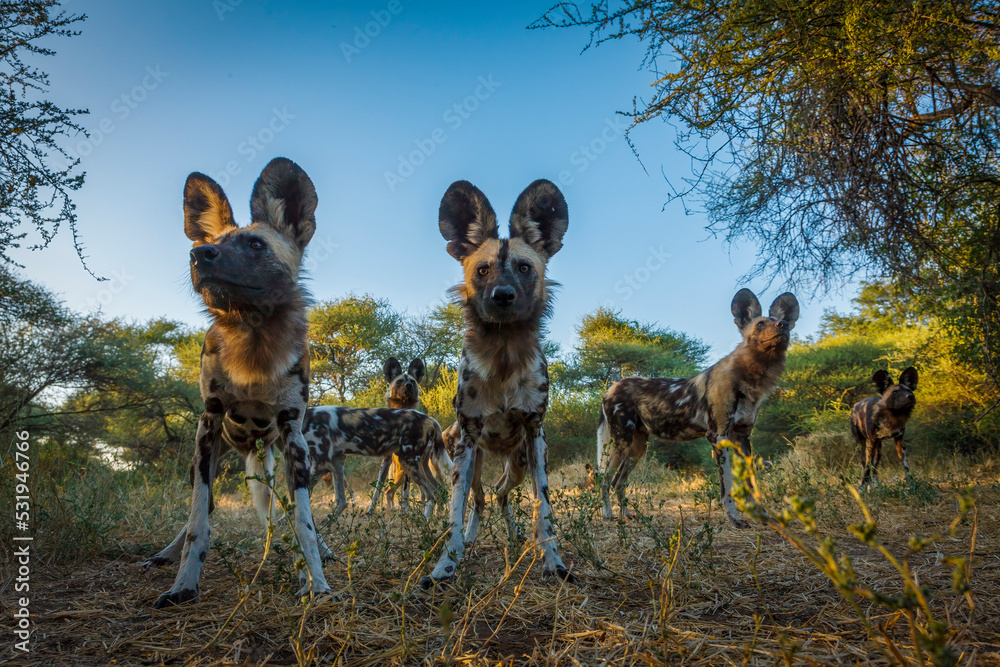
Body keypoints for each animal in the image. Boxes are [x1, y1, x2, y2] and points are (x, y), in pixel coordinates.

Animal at [143, 159, 334, 608]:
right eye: (209, 244)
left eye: (256, 245)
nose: (198, 254)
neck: (253, 335)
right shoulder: (208, 425)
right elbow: (198, 519)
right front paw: (183, 584)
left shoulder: (293, 435)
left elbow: (304, 522)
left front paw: (315, 582)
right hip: (207, 459)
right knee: (206, 505)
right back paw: (167, 554)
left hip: (281, 457)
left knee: (292, 513)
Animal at [300, 404, 446, 520]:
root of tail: (430, 419)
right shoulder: (337, 461)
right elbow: (341, 501)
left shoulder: (321, 465)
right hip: (420, 465)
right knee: (439, 491)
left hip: (408, 462)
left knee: (431, 495)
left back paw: (425, 524)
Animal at [420, 179, 576, 588]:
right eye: (483, 270)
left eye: (524, 268)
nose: (502, 296)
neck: (503, 354)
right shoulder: (469, 436)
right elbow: (454, 514)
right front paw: (444, 566)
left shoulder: (535, 434)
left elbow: (543, 509)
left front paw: (552, 561)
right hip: (470, 457)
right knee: (480, 498)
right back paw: (472, 539)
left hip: (519, 462)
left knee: (502, 494)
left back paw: (514, 534)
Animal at [596, 290, 800, 528]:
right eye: (760, 324)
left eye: (784, 323)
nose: (782, 325)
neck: (750, 378)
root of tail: (611, 388)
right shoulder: (718, 437)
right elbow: (727, 487)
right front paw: (735, 519)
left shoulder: (742, 438)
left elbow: (752, 483)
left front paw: (762, 515)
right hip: (621, 444)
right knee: (605, 479)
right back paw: (607, 515)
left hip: (637, 448)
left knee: (618, 481)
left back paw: (626, 514)